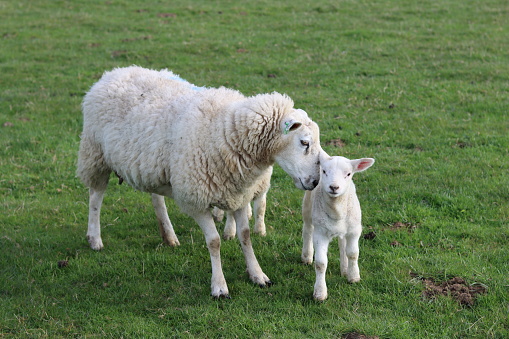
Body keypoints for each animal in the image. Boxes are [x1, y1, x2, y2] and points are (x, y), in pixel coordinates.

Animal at [75, 65, 322, 298]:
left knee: (156, 198)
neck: (225, 131)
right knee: (95, 196)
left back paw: (169, 236)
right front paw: (219, 286)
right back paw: (94, 238)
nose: (315, 182)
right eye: (304, 142)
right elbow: (214, 241)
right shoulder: (196, 199)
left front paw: (257, 274)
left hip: (151, 165)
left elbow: (245, 236)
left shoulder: (239, 195)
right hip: (95, 154)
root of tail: (113, 73)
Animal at [300, 153, 376, 302]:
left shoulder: (354, 230)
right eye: (324, 171)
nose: (334, 187)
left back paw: (345, 269)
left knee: (342, 244)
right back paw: (306, 256)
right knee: (307, 230)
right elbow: (321, 263)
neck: (337, 210)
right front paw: (320, 292)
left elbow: (353, 253)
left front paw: (353, 276)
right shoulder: (320, 233)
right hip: (307, 207)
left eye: (348, 174)